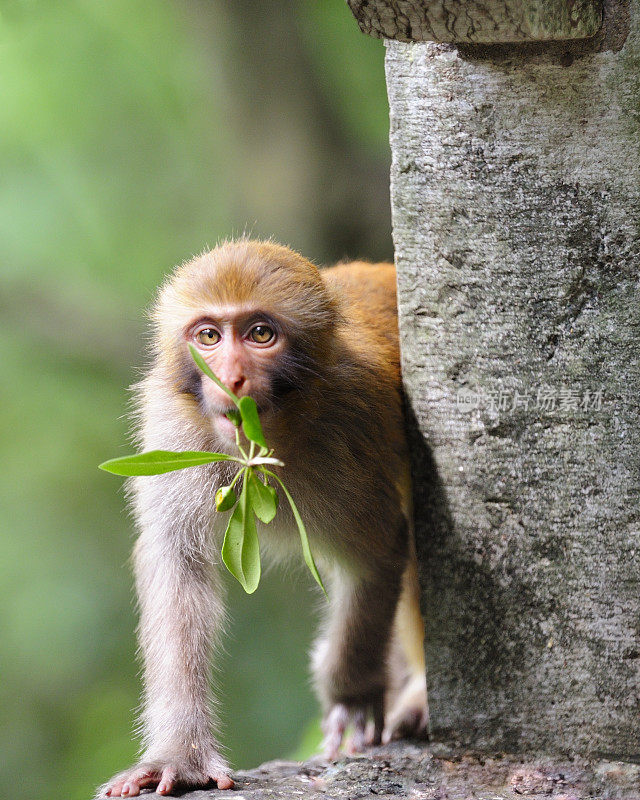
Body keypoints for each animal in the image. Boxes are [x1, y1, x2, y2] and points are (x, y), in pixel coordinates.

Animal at [100, 241, 428, 796]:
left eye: (260, 334)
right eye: (209, 337)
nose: (231, 380)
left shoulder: (352, 427)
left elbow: (376, 556)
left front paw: (351, 693)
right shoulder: (172, 428)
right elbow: (177, 568)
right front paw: (179, 755)